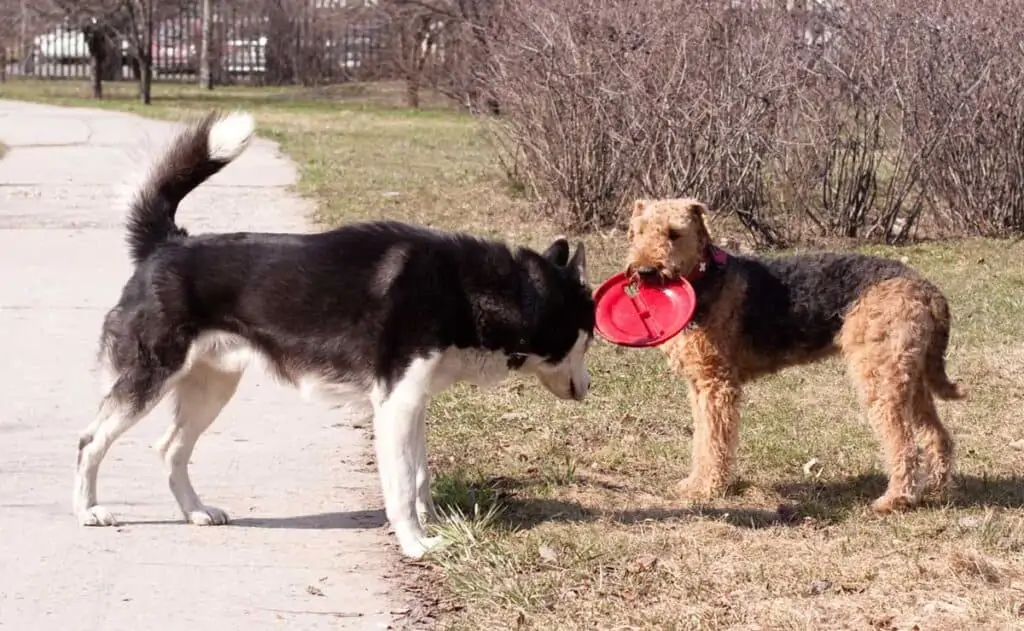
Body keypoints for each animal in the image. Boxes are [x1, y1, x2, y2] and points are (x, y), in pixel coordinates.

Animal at [72, 112, 598, 557]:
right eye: (588, 338)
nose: (590, 388)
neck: (464, 288)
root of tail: (167, 244)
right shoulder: (396, 406)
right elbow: (401, 487)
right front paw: (415, 543)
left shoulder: (413, 404)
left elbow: (421, 478)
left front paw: (433, 524)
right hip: (149, 379)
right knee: (89, 441)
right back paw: (88, 510)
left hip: (213, 387)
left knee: (170, 449)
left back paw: (195, 511)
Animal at [622, 196, 966, 512]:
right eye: (637, 232)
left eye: (674, 233)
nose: (645, 271)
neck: (706, 279)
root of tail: (926, 287)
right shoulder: (700, 384)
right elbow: (702, 439)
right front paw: (695, 483)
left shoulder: (717, 385)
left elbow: (714, 440)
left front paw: (708, 488)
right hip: (911, 376)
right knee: (937, 436)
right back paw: (936, 488)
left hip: (880, 378)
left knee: (904, 444)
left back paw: (895, 499)